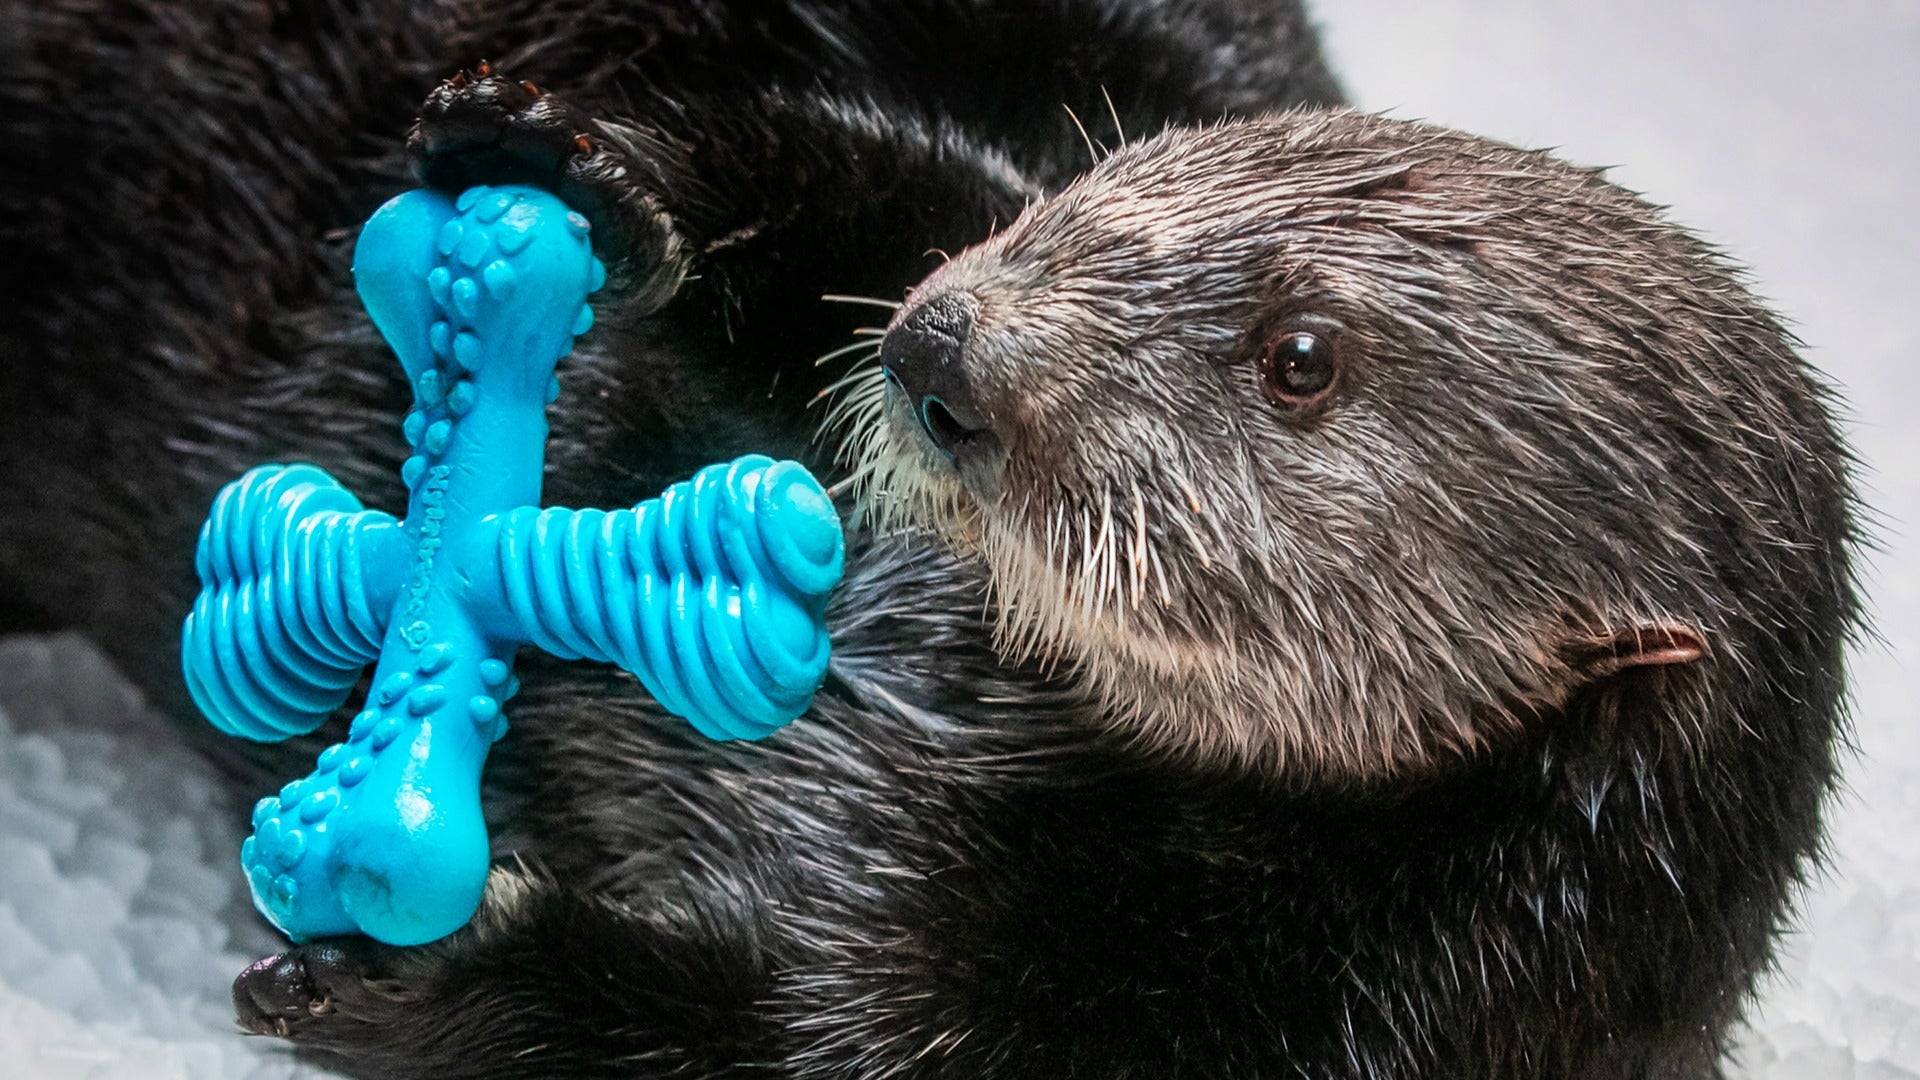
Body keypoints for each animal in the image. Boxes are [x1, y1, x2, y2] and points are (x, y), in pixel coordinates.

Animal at [0, 2, 1857, 1078]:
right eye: (1135, 182)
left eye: (1302, 359)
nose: (946, 350)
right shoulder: (968, 191)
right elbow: (883, 203)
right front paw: (597, 162)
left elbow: (765, 1044)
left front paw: (414, 972)